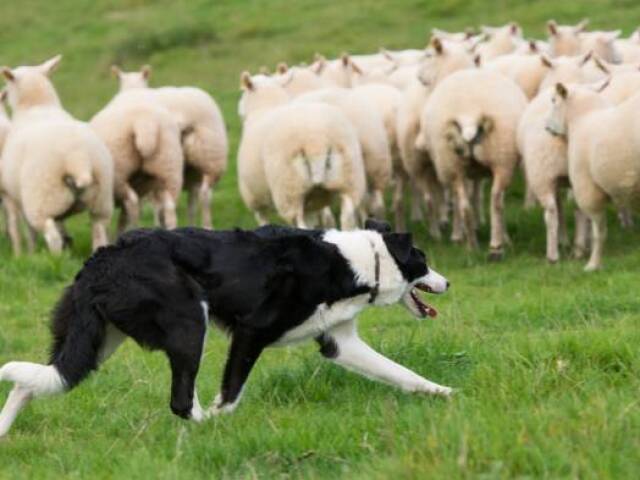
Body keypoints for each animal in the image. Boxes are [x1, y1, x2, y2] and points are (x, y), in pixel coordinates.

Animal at [0, 57, 114, 255]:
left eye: (9, 82)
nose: (3, 94)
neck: (37, 105)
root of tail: (77, 159)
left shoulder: (12, 195)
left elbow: (24, 229)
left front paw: (26, 254)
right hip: (101, 200)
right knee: (99, 232)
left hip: (41, 198)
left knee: (51, 235)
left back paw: (56, 258)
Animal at [0, 219, 450, 436]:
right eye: (424, 260)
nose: (448, 283)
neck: (359, 261)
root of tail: (103, 258)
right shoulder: (251, 332)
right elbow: (231, 394)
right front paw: (221, 419)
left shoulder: (340, 343)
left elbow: (402, 373)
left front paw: (445, 393)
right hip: (189, 322)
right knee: (181, 402)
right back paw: (204, 426)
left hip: (97, 340)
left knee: (35, 380)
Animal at [544, 82, 640, 270]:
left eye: (553, 100)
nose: (546, 127)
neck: (582, 119)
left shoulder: (587, 189)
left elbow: (598, 232)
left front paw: (593, 264)